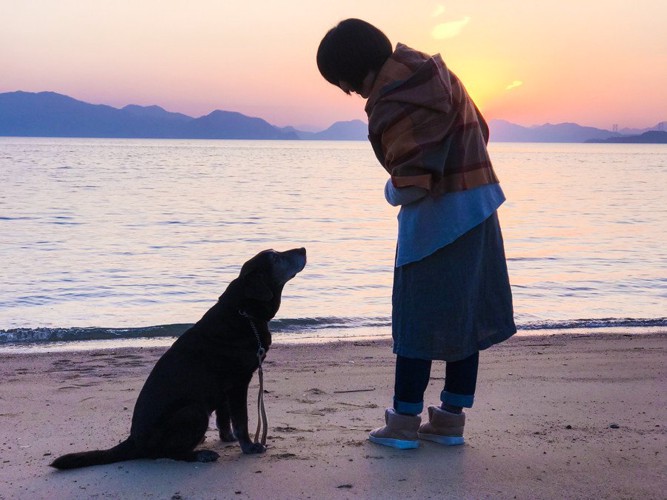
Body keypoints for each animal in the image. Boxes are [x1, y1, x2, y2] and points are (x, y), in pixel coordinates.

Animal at [51, 248, 308, 470]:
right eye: (275, 257)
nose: (304, 249)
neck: (245, 313)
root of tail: (134, 440)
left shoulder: (224, 387)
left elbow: (225, 417)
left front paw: (228, 438)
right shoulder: (237, 383)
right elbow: (241, 420)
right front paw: (249, 446)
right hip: (193, 411)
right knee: (165, 453)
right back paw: (199, 454)